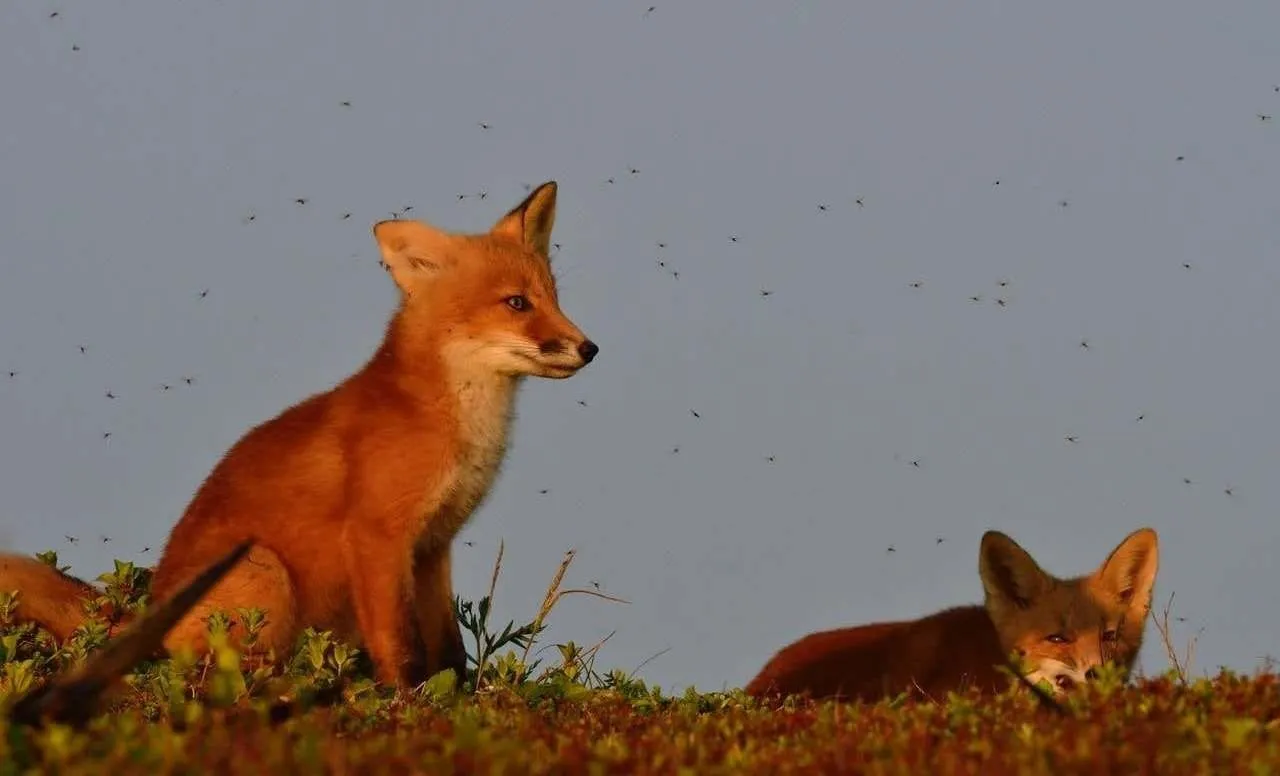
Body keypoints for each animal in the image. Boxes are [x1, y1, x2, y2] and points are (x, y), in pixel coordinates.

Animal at [0, 184, 596, 691]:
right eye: (517, 303)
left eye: (554, 298)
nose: (589, 348)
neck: (454, 425)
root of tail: (142, 615)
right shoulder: (378, 537)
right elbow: (401, 645)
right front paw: (407, 702)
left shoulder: (433, 546)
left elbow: (449, 653)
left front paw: (458, 699)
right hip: (263, 570)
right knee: (223, 675)